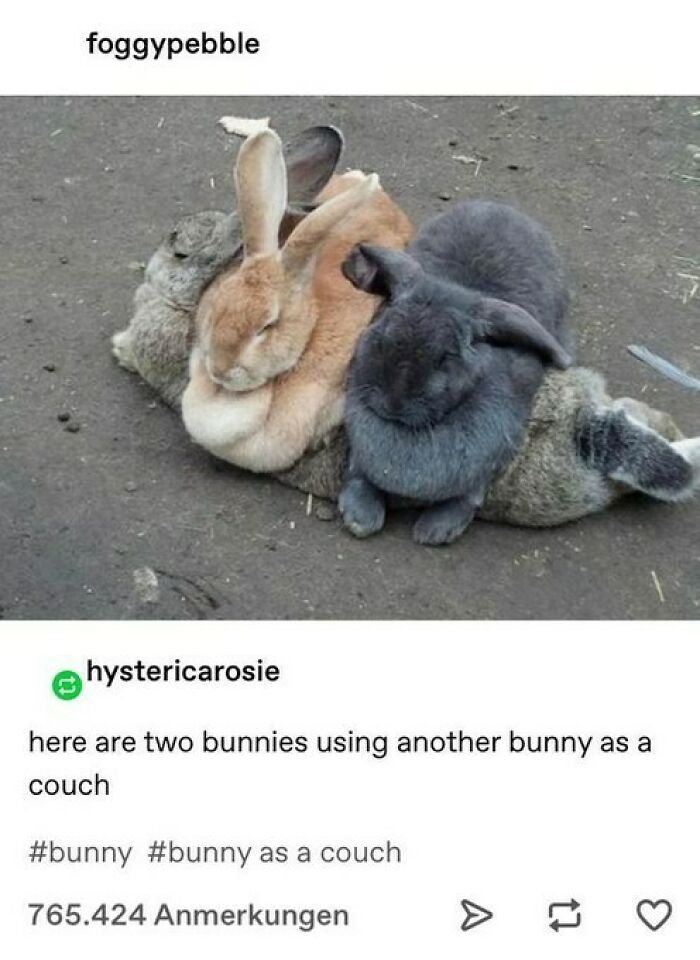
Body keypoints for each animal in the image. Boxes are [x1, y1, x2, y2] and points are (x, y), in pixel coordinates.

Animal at [337, 200, 573, 545]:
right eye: (383, 333)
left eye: (446, 356)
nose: (393, 404)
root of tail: (500, 206)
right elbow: (358, 470)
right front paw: (360, 516)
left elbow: (470, 494)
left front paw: (436, 530)